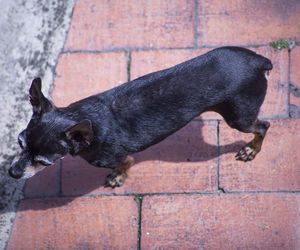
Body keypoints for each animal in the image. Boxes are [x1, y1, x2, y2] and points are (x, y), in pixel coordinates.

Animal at [8, 47, 272, 188]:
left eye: (43, 162)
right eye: (20, 143)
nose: (12, 174)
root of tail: (260, 61)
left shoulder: (118, 157)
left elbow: (126, 164)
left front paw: (118, 178)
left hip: (239, 117)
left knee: (263, 126)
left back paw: (252, 149)